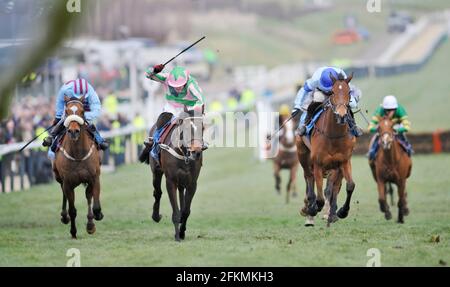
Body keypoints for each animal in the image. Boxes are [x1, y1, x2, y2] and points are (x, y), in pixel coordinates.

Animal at [52, 96, 103, 238]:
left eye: (82, 111)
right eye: (67, 111)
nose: (73, 131)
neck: (78, 154)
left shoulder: (94, 178)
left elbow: (95, 205)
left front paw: (95, 220)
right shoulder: (68, 183)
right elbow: (72, 210)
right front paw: (73, 232)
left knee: (88, 197)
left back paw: (90, 224)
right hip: (59, 178)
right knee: (63, 193)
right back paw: (64, 217)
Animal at [140, 107, 205, 242]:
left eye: (202, 127)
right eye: (186, 127)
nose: (196, 152)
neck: (183, 154)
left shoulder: (192, 183)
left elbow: (186, 211)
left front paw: (182, 232)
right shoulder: (170, 181)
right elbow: (175, 211)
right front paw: (177, 236)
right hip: (156, 171)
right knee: (157, 192)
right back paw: (156, 216)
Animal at [298, 73, 356, 227]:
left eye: (349, 92)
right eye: (332, 92)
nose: (341, 115)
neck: (333, 135)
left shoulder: (343, 162)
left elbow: (350, 186)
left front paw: (342, 212)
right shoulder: (318, 164)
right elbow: (320, 198)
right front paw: (312, 209)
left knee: (333, 187)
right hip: (303, 156)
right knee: (309, 178)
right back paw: (310, 210)